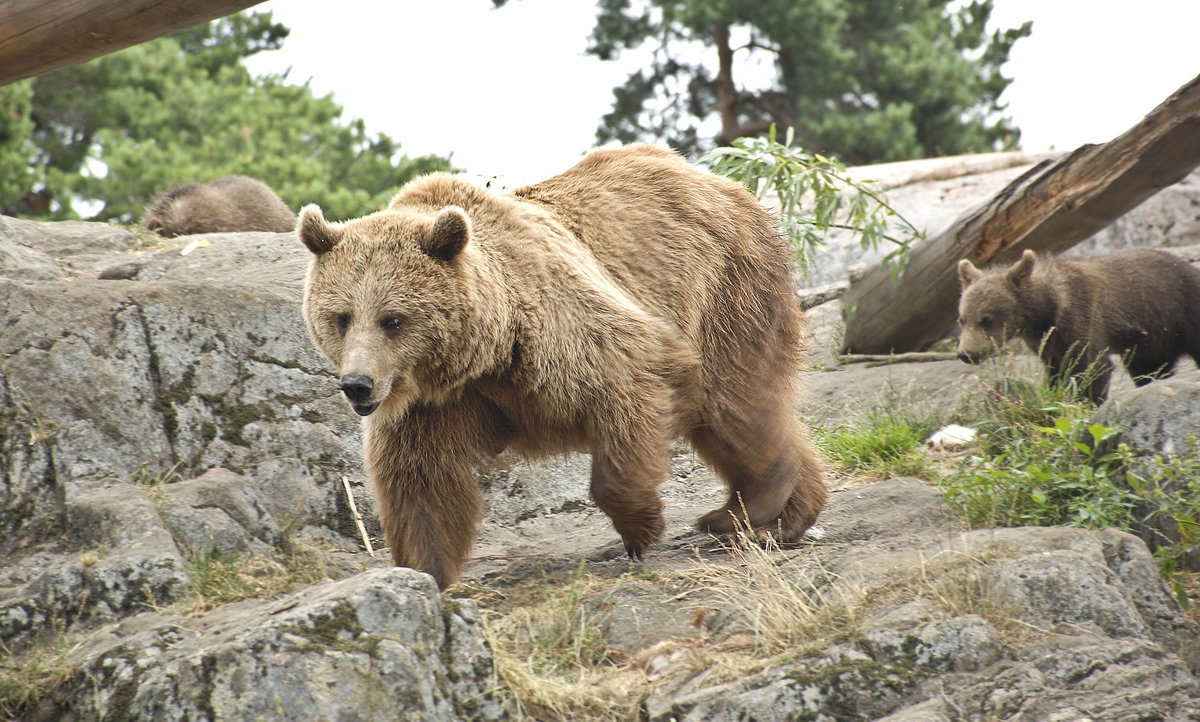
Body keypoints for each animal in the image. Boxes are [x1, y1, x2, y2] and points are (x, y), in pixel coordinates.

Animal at [960, 248, 1200, 402]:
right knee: (1149, 369)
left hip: (1182, 312)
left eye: (986, 319)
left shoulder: (1080, 317)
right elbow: (1057, 373)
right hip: (1153, 340)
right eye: (962, 319)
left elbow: (1093, 367)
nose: (966, 353)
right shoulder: (1048, 344)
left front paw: (1086, 403)